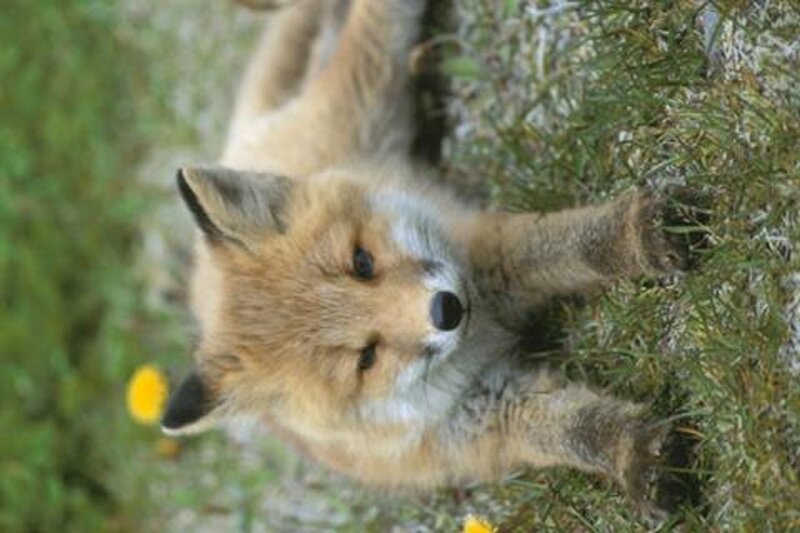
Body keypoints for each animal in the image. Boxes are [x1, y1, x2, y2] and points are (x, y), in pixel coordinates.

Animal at [161, 0, 702, 517]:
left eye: (362, 261)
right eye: (366, 358)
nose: (446, 309)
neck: (482, 327)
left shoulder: (484, 250)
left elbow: (578, 243)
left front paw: (642, 237)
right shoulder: (477, 421)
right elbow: (571, 429)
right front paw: (630, 456)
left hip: (371, 71)